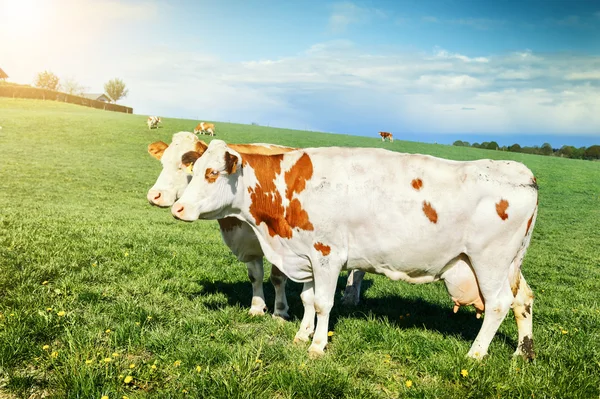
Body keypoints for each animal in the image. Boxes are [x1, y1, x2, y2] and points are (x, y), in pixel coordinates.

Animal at [172, 139, 540, 360]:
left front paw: (317, 345)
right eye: (194, 170)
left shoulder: (327, 254)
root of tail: (523, 173)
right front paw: (302, 335)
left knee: (498, 305)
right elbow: (308, 299)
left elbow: (323, 303)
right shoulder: (306, 253)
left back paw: (475, 355)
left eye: (212, 173)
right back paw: (522, 353)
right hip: (508, 265)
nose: (177, 208)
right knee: (522, 299)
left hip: (489, 262)